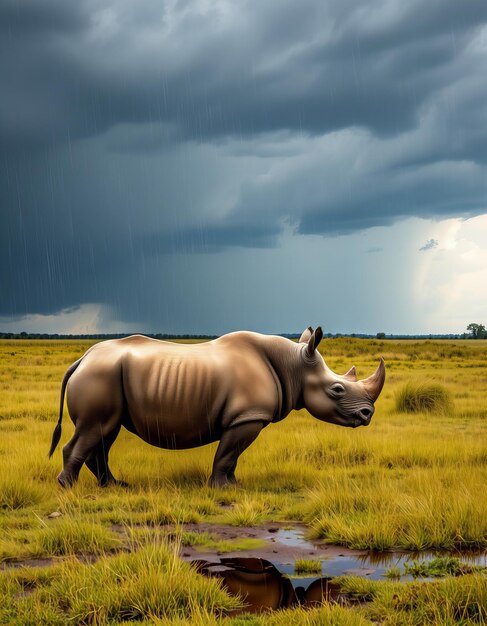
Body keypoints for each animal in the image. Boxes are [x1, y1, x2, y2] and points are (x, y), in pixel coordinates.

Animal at [49, 326, 386, 488]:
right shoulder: (247, 416)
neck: (294, 366)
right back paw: (69, 488)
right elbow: (228, 453)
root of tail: (81, 359)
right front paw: (223, 488)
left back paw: (115, 486)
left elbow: (232, 456)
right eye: (337, 390)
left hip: (106, 377)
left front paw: (235, 484)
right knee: (95, 429)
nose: (367, 414)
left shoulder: (244, 417)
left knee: (105, 432)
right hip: (100, 375)